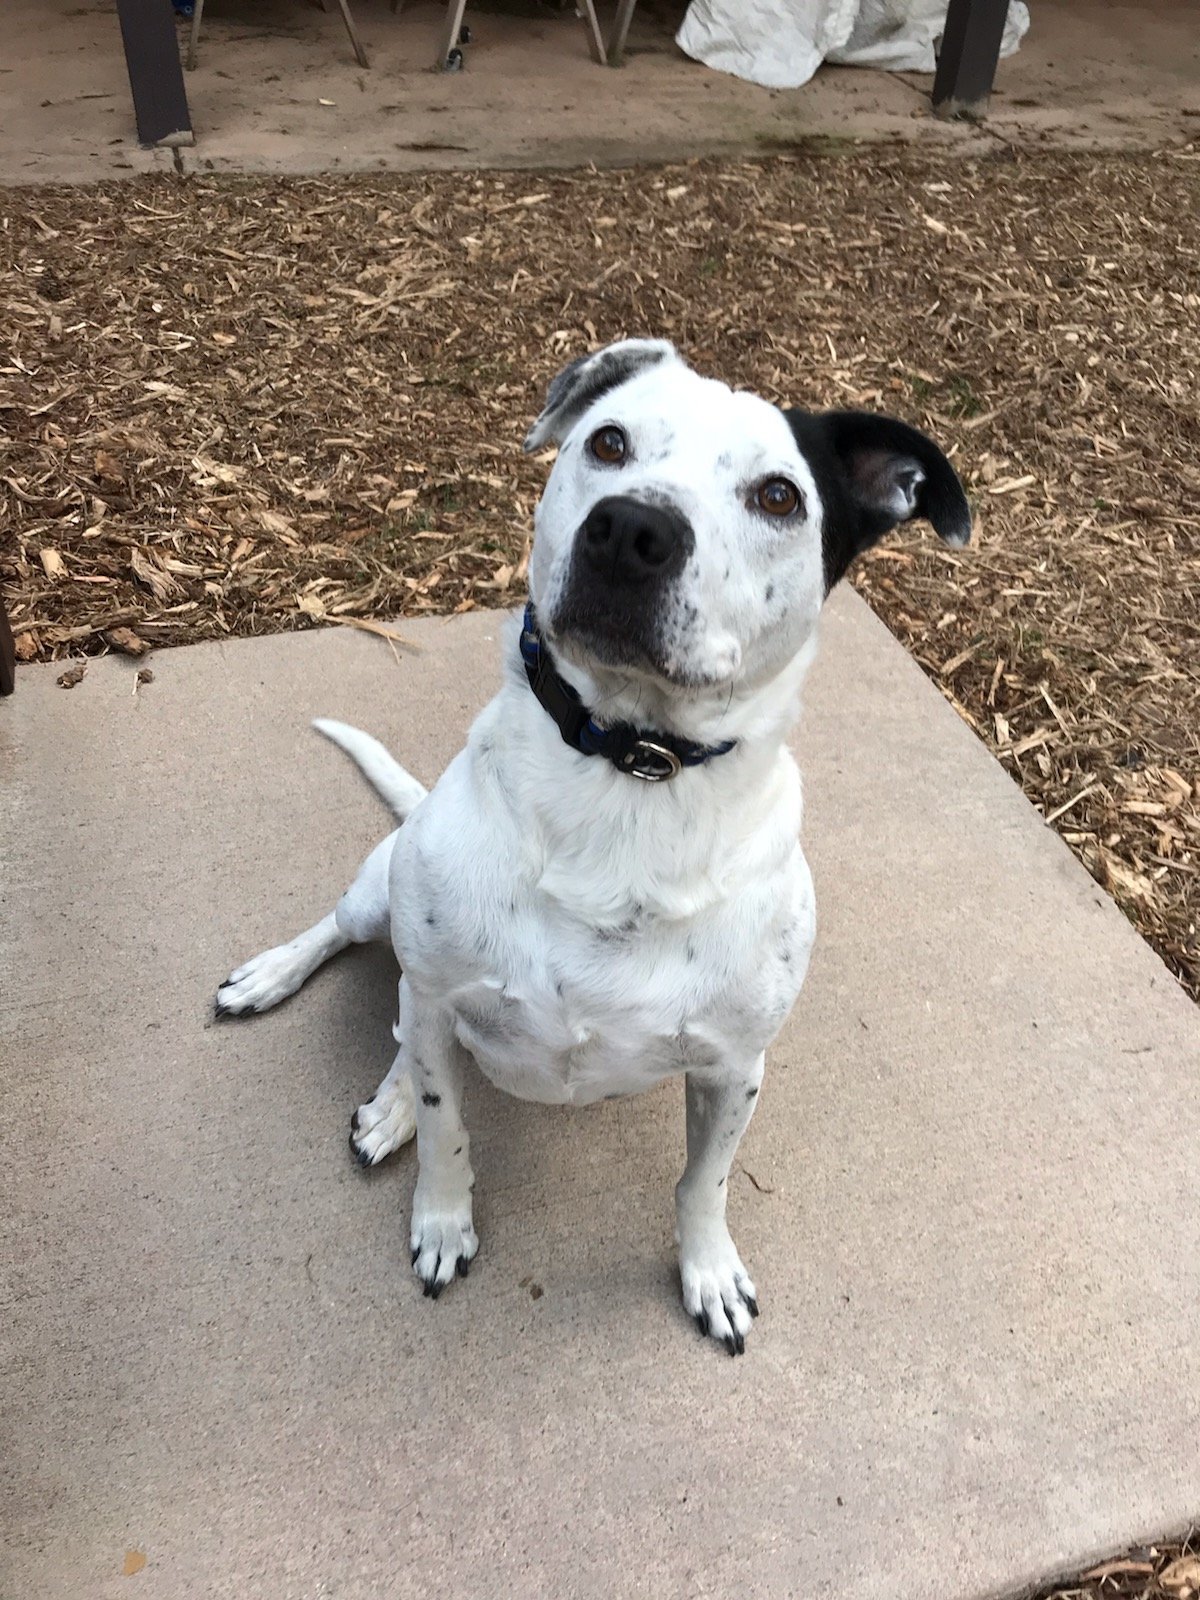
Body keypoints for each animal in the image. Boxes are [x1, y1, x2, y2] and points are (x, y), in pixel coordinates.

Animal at [216, 337, 966, 1350]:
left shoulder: (735, 1070)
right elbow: (449, 1129)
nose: (631, 530)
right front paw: (442, 1219)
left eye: (779, 496)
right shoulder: (444, 993)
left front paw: (708, 1270)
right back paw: (298, 1006)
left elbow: (704, 1182)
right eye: (609, 442)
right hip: (383, 899)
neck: (629, 776)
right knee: (363, 963)